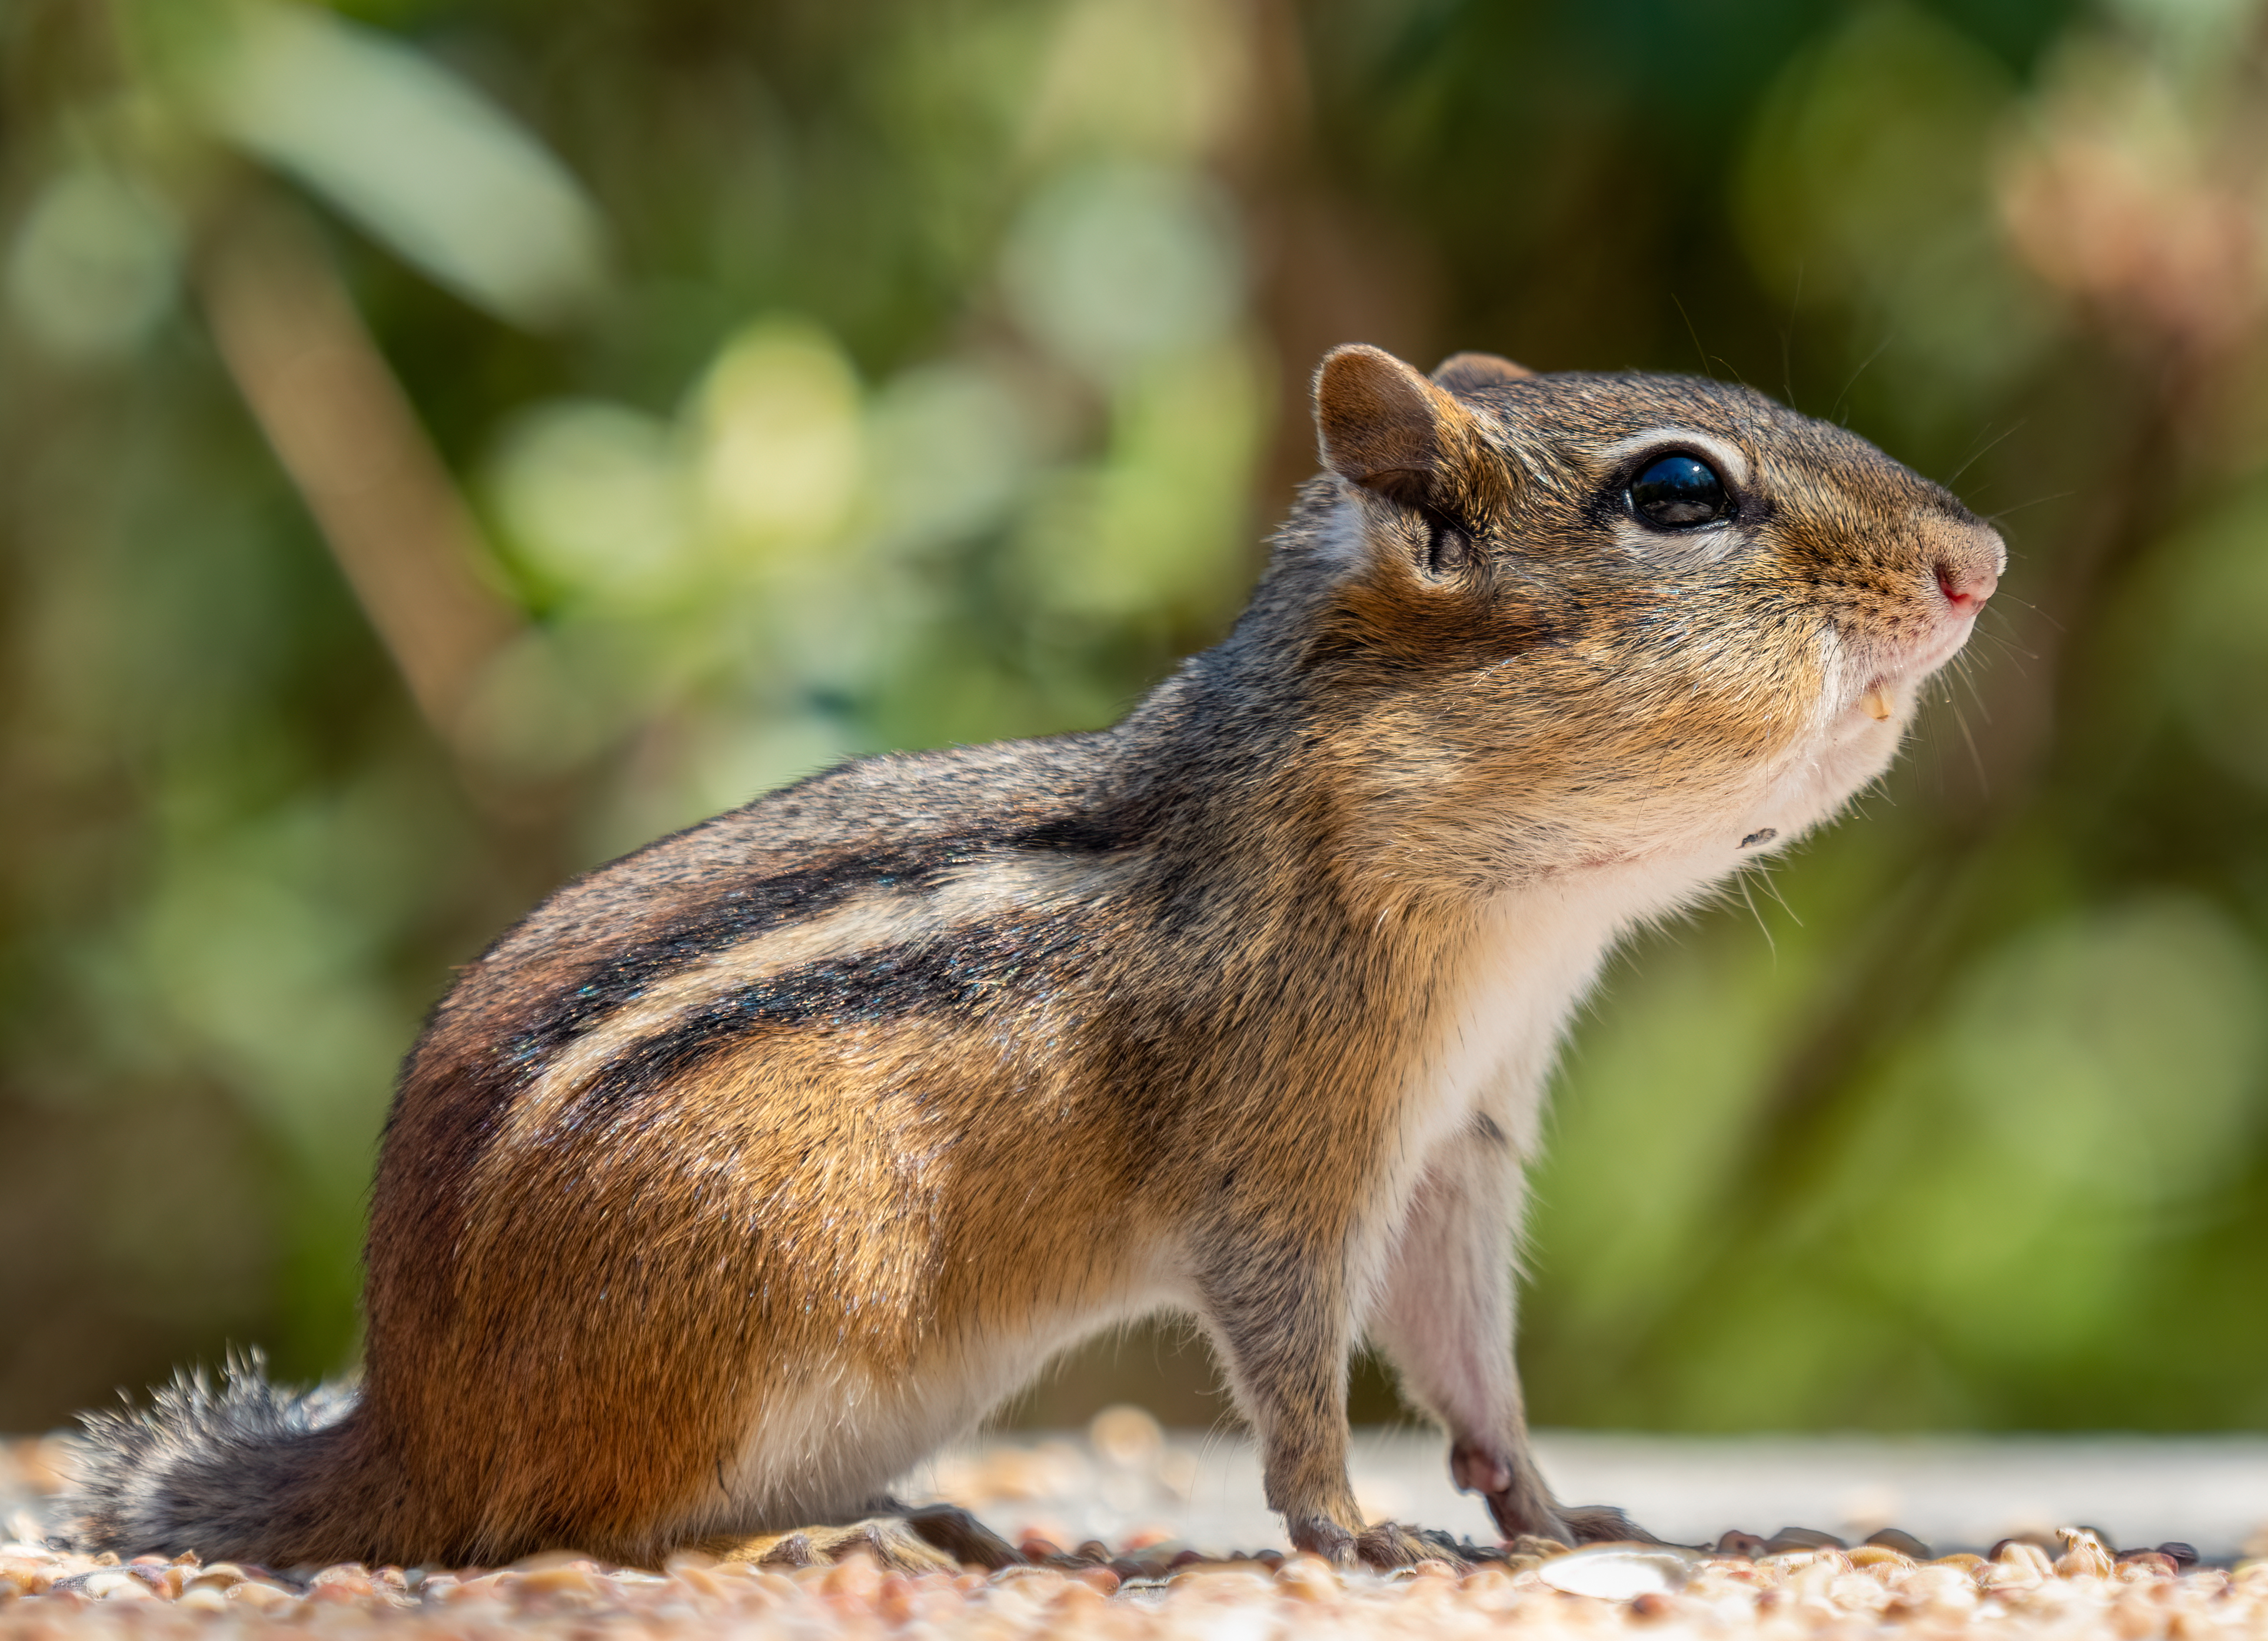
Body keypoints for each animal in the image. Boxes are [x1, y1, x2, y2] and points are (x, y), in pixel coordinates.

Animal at [63, 343, 2002, 1573]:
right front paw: (1353, 1527)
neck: (1513, 912)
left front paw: (1556, 1515)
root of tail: (405, 1424)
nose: (1977, 557)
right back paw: (840, 1530)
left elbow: (1472, 1361)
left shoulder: (1455, 1146)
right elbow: (1292, 1353)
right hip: (770, 1277)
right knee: (569, 1522)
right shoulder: (1282, 1149)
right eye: (1677, 492)